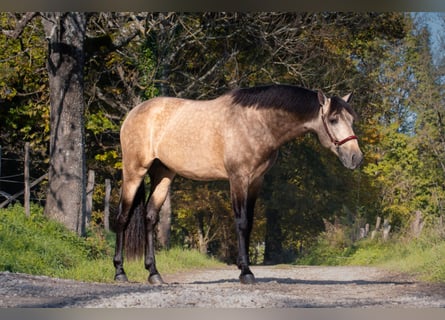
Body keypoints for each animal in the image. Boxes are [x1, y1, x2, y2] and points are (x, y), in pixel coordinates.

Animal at [112, 84, 360, 284]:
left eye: (352, 120)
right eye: (333, 120)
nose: (356, 158)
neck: (257, 122)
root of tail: (134, 113)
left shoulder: (256, 180)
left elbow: (249, 223)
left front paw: (244, 266)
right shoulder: (238, 178)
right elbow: (241, 222)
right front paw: (246, 273)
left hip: (163, 174)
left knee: (150, 217)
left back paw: (154, 273)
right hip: (134, 171)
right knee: (122, 218)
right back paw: (120, 272)